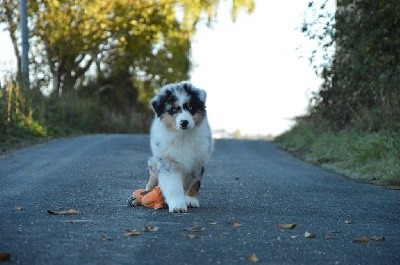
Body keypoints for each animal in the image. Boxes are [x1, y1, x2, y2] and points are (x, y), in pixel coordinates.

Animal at [147, 81, 212, 211]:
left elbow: (192, 182)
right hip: (155, 161)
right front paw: (177, 206)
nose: (184, 122)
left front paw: (189, 199)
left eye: (191, 107)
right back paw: (148, 189)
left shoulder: (197, 162)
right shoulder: (168, 162)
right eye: (173, 109)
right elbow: (173, 185)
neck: (183, 136)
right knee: (153, 172)